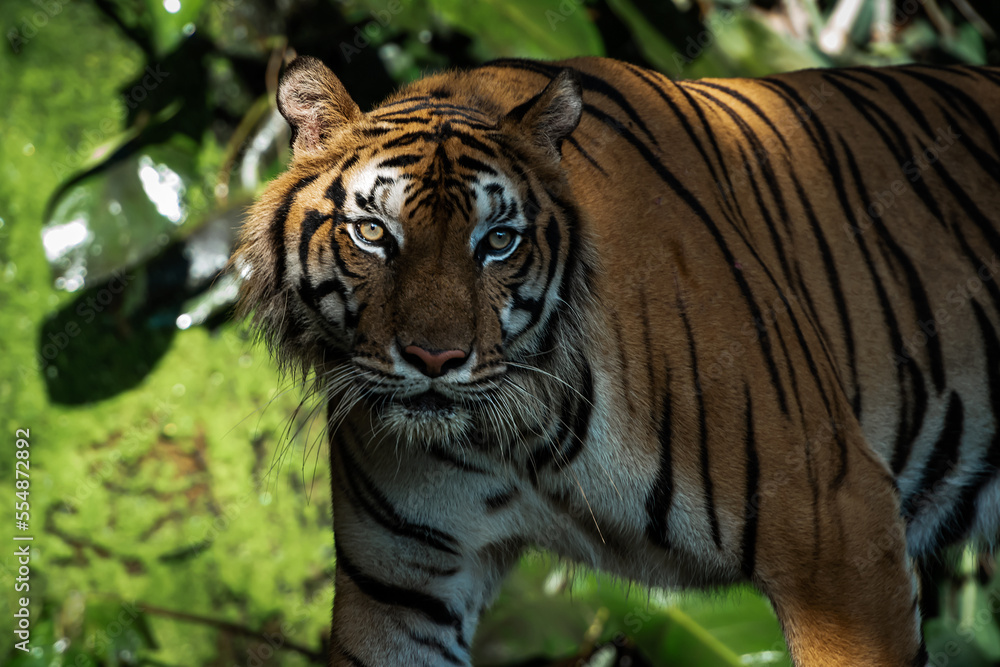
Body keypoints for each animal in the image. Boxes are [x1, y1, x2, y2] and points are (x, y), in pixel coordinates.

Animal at [232, 53, 1000, 666]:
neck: (516, 436)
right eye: (372, 232)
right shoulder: (399, 589)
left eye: (499, 241)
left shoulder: (838, 533)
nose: (435, 357)